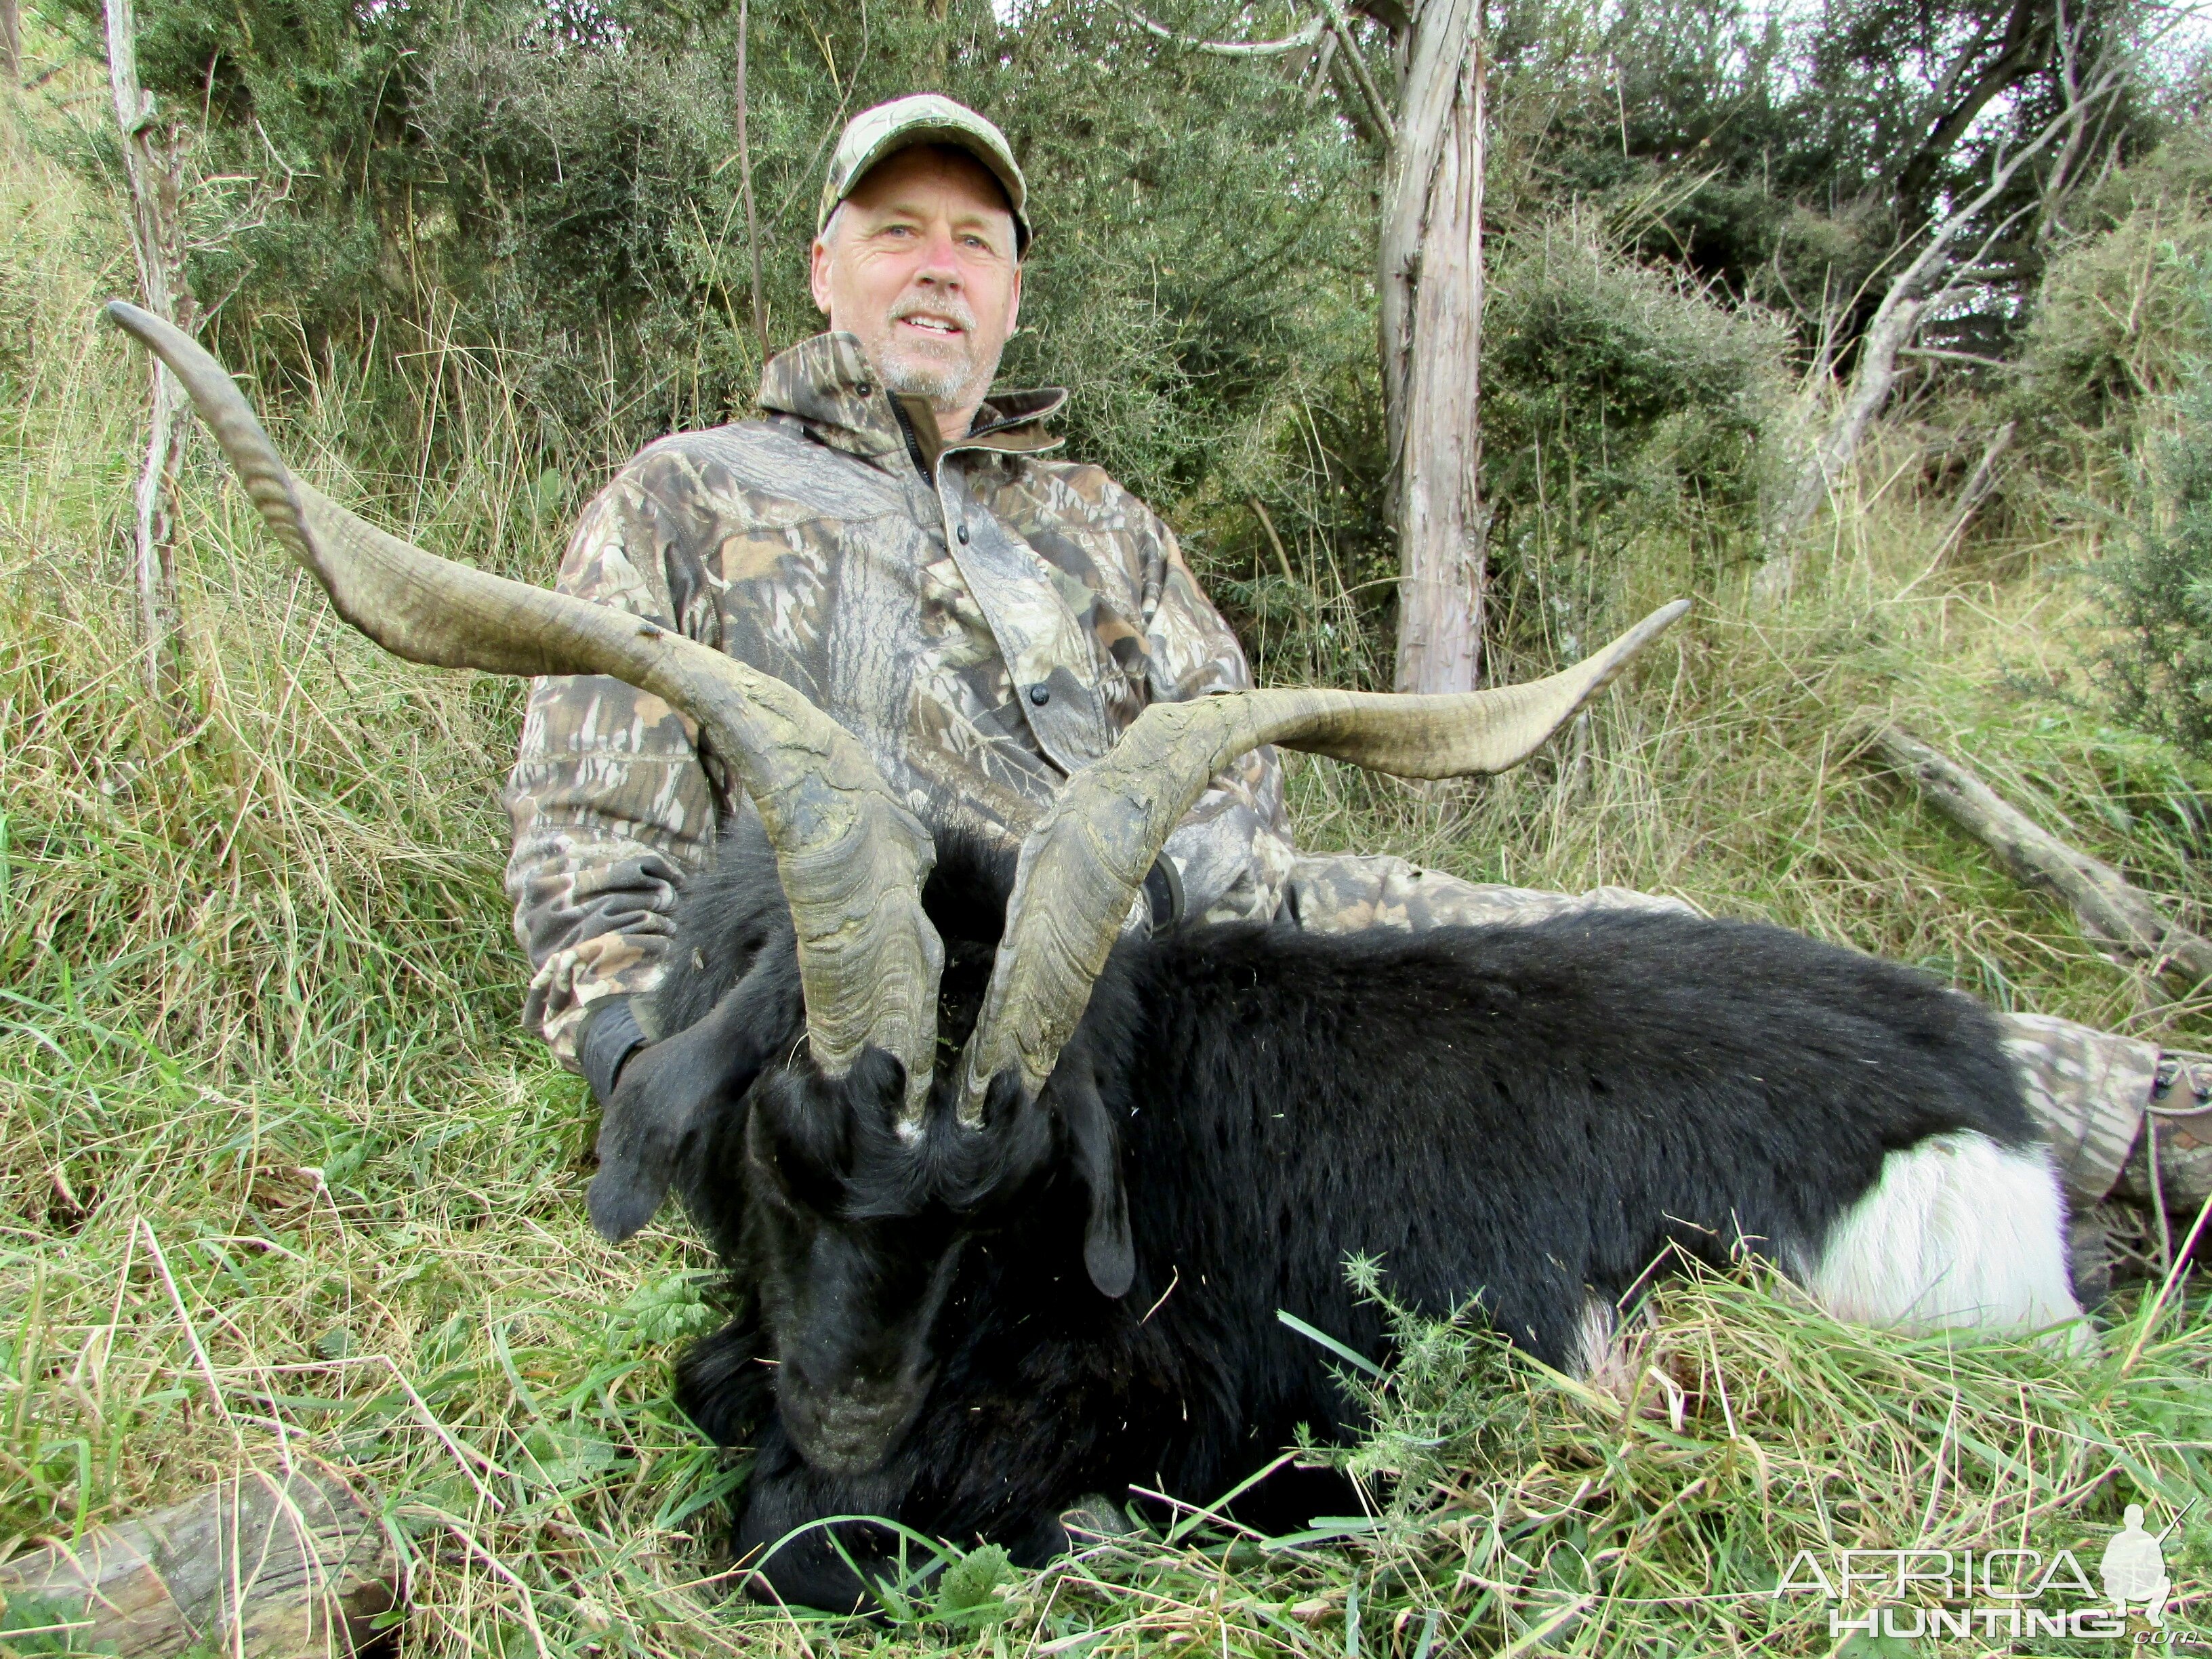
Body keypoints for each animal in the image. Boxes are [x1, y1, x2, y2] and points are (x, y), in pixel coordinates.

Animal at [601, 827, 2070, 1619]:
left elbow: (793, 1531)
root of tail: (1985, 1087)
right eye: (788, 1128)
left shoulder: (1144, 1398)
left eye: (1014, 1159)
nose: (855, 1410)